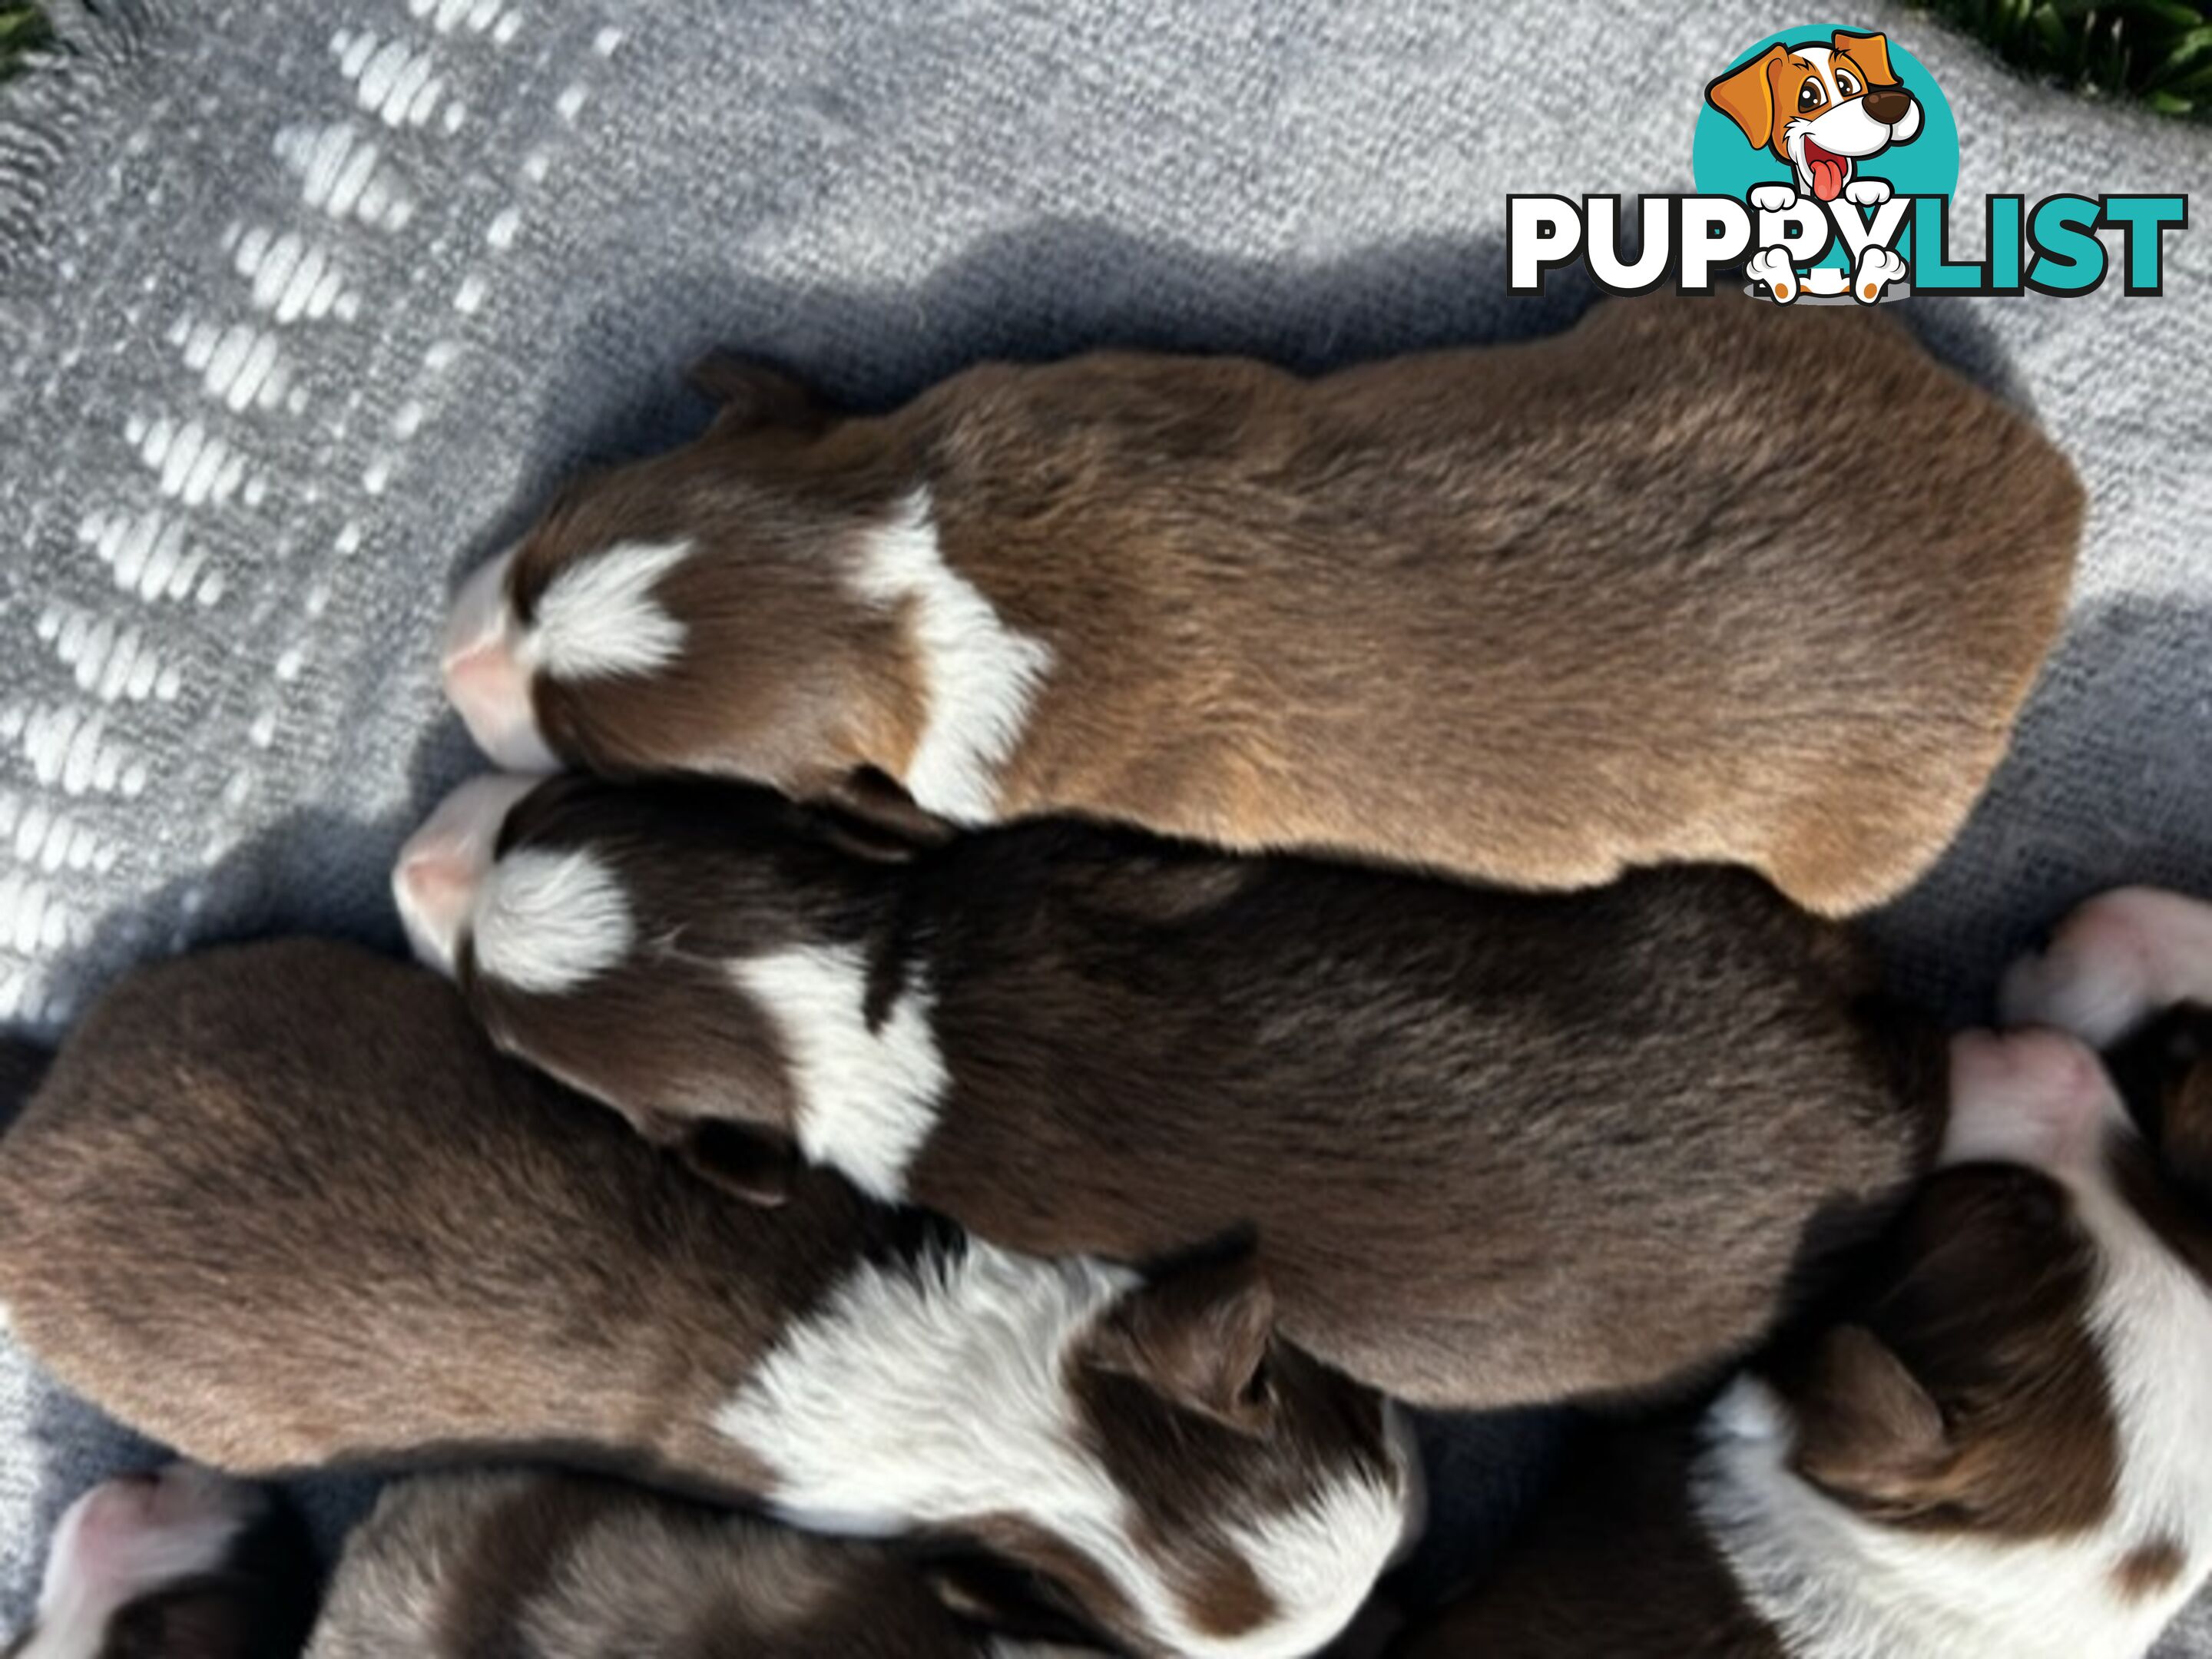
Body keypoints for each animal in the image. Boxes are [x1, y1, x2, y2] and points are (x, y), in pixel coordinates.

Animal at [393, 778, 1937, 1416]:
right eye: (540, 816)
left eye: (492, 1017)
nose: (415, 862)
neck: (844, 987)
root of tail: (1871, 1124)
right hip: (1717, 919)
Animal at [440, 296, 2079, 924]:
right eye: (529, 569)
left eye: (591, 746)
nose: (454, 667)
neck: (910, 581)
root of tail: (2050, 512)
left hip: (1847, 841)